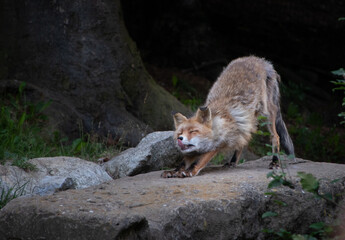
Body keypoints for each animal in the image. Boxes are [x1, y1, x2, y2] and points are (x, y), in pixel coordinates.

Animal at [161, 55, 292, 177]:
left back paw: (275, 162)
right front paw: (174, 171)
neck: (217, 123)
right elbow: (183, 163)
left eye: (193, 131)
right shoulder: (192, 150)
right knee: (244, 141)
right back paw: (232, 162)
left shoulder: (218, 143)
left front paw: (189, 171)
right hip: (248, 122)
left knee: (276, 137)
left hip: (266, 115)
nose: (180, 138)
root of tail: (260, 59)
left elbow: (198, 161)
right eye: (180, 133)